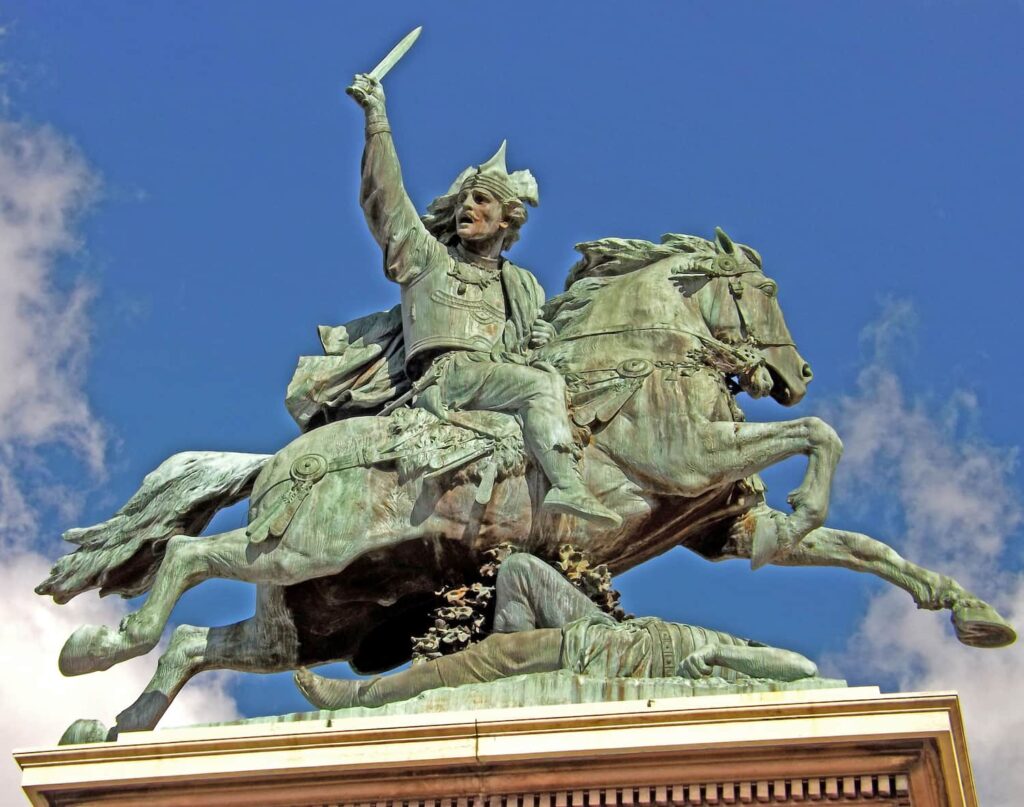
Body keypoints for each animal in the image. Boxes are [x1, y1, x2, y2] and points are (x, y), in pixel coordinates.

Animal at [39, 230, 1015, 741]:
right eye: (763, 289)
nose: (797, 372)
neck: (643, 360)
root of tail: (273, 460)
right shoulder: (694, 458)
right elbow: (819, 438)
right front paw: (812, 491)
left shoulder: (728, 519)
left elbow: (863, 547)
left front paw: (972, 611)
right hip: (303, 545)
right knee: (186, 555)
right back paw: (97, 649)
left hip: (314, 614)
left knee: (198, 640)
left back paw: (114, 721)